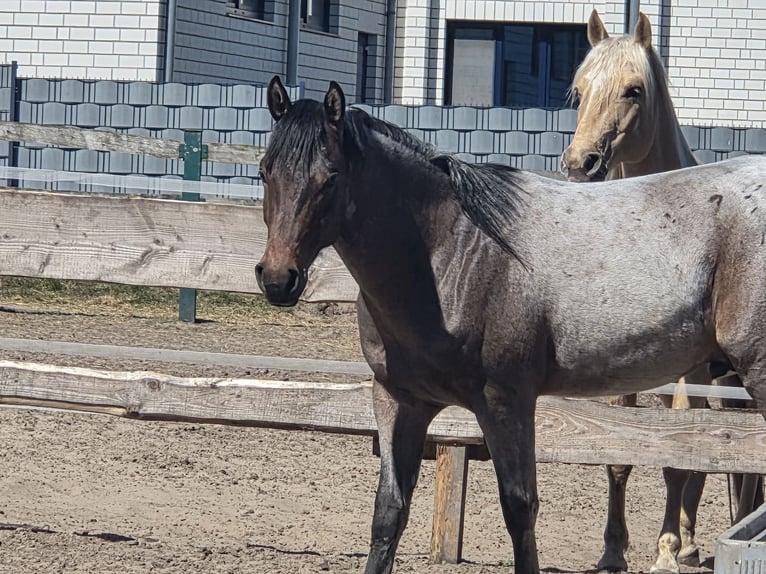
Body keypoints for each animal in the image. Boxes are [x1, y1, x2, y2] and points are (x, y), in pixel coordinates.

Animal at [256, 75, 766, 574]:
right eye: (264, 170)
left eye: (331, 177)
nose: (279, 278)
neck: (457, 252)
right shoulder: (399, 402)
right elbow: (389, 513)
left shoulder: (506, 402)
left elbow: (520, 510)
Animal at [562, 11, 762, 573]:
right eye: (579, 89)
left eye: (634, 89)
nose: (581, 162)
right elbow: (624, 455)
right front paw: (613, 550)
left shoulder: (687, 375)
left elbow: (677, 460)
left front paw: (666, 551)